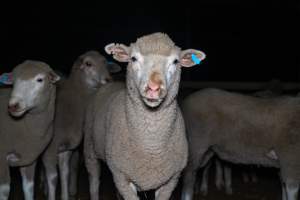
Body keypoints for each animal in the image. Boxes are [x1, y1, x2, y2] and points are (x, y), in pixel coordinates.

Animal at [0, 60, 60, 199]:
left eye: (40, 79)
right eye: (13, 81)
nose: (13, 105)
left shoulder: (28, 158)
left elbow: (29, 188)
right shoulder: (1, 158)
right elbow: (4, 191)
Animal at [41, 50, 120, 200]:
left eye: (105, 62)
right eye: (88, 63)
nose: (108, 79)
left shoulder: (66, 148)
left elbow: (65, 173)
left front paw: (65, 196)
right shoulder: (50, 149)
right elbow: (53, 178)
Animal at [83, 32, 206, 200]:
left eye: (175, 61)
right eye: (133, 58)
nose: (153, 88)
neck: (151, 146)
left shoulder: (170, 180)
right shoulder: (122, 177)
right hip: (90, 149)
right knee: (94, 180)